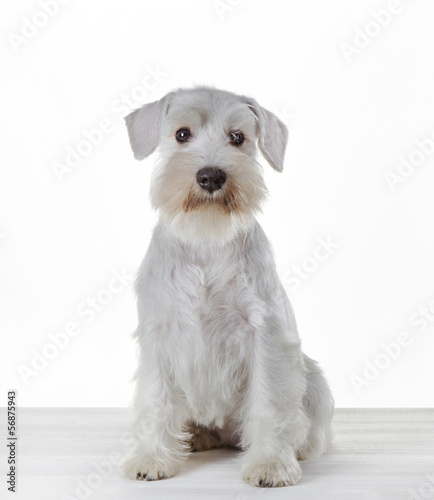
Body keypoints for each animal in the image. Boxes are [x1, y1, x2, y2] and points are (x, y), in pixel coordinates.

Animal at [120, 87, 334, 488]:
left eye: (238, 137)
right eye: (182, 134)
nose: (210, 176)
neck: (206, 239)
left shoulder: (263, 335)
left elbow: (269, 401)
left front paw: (270, 464)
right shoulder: (159, 334)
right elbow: (156, 400)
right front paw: (151, 458)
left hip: (313, 380)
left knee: (310, 429)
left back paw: (297, 446)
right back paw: (195, 437)